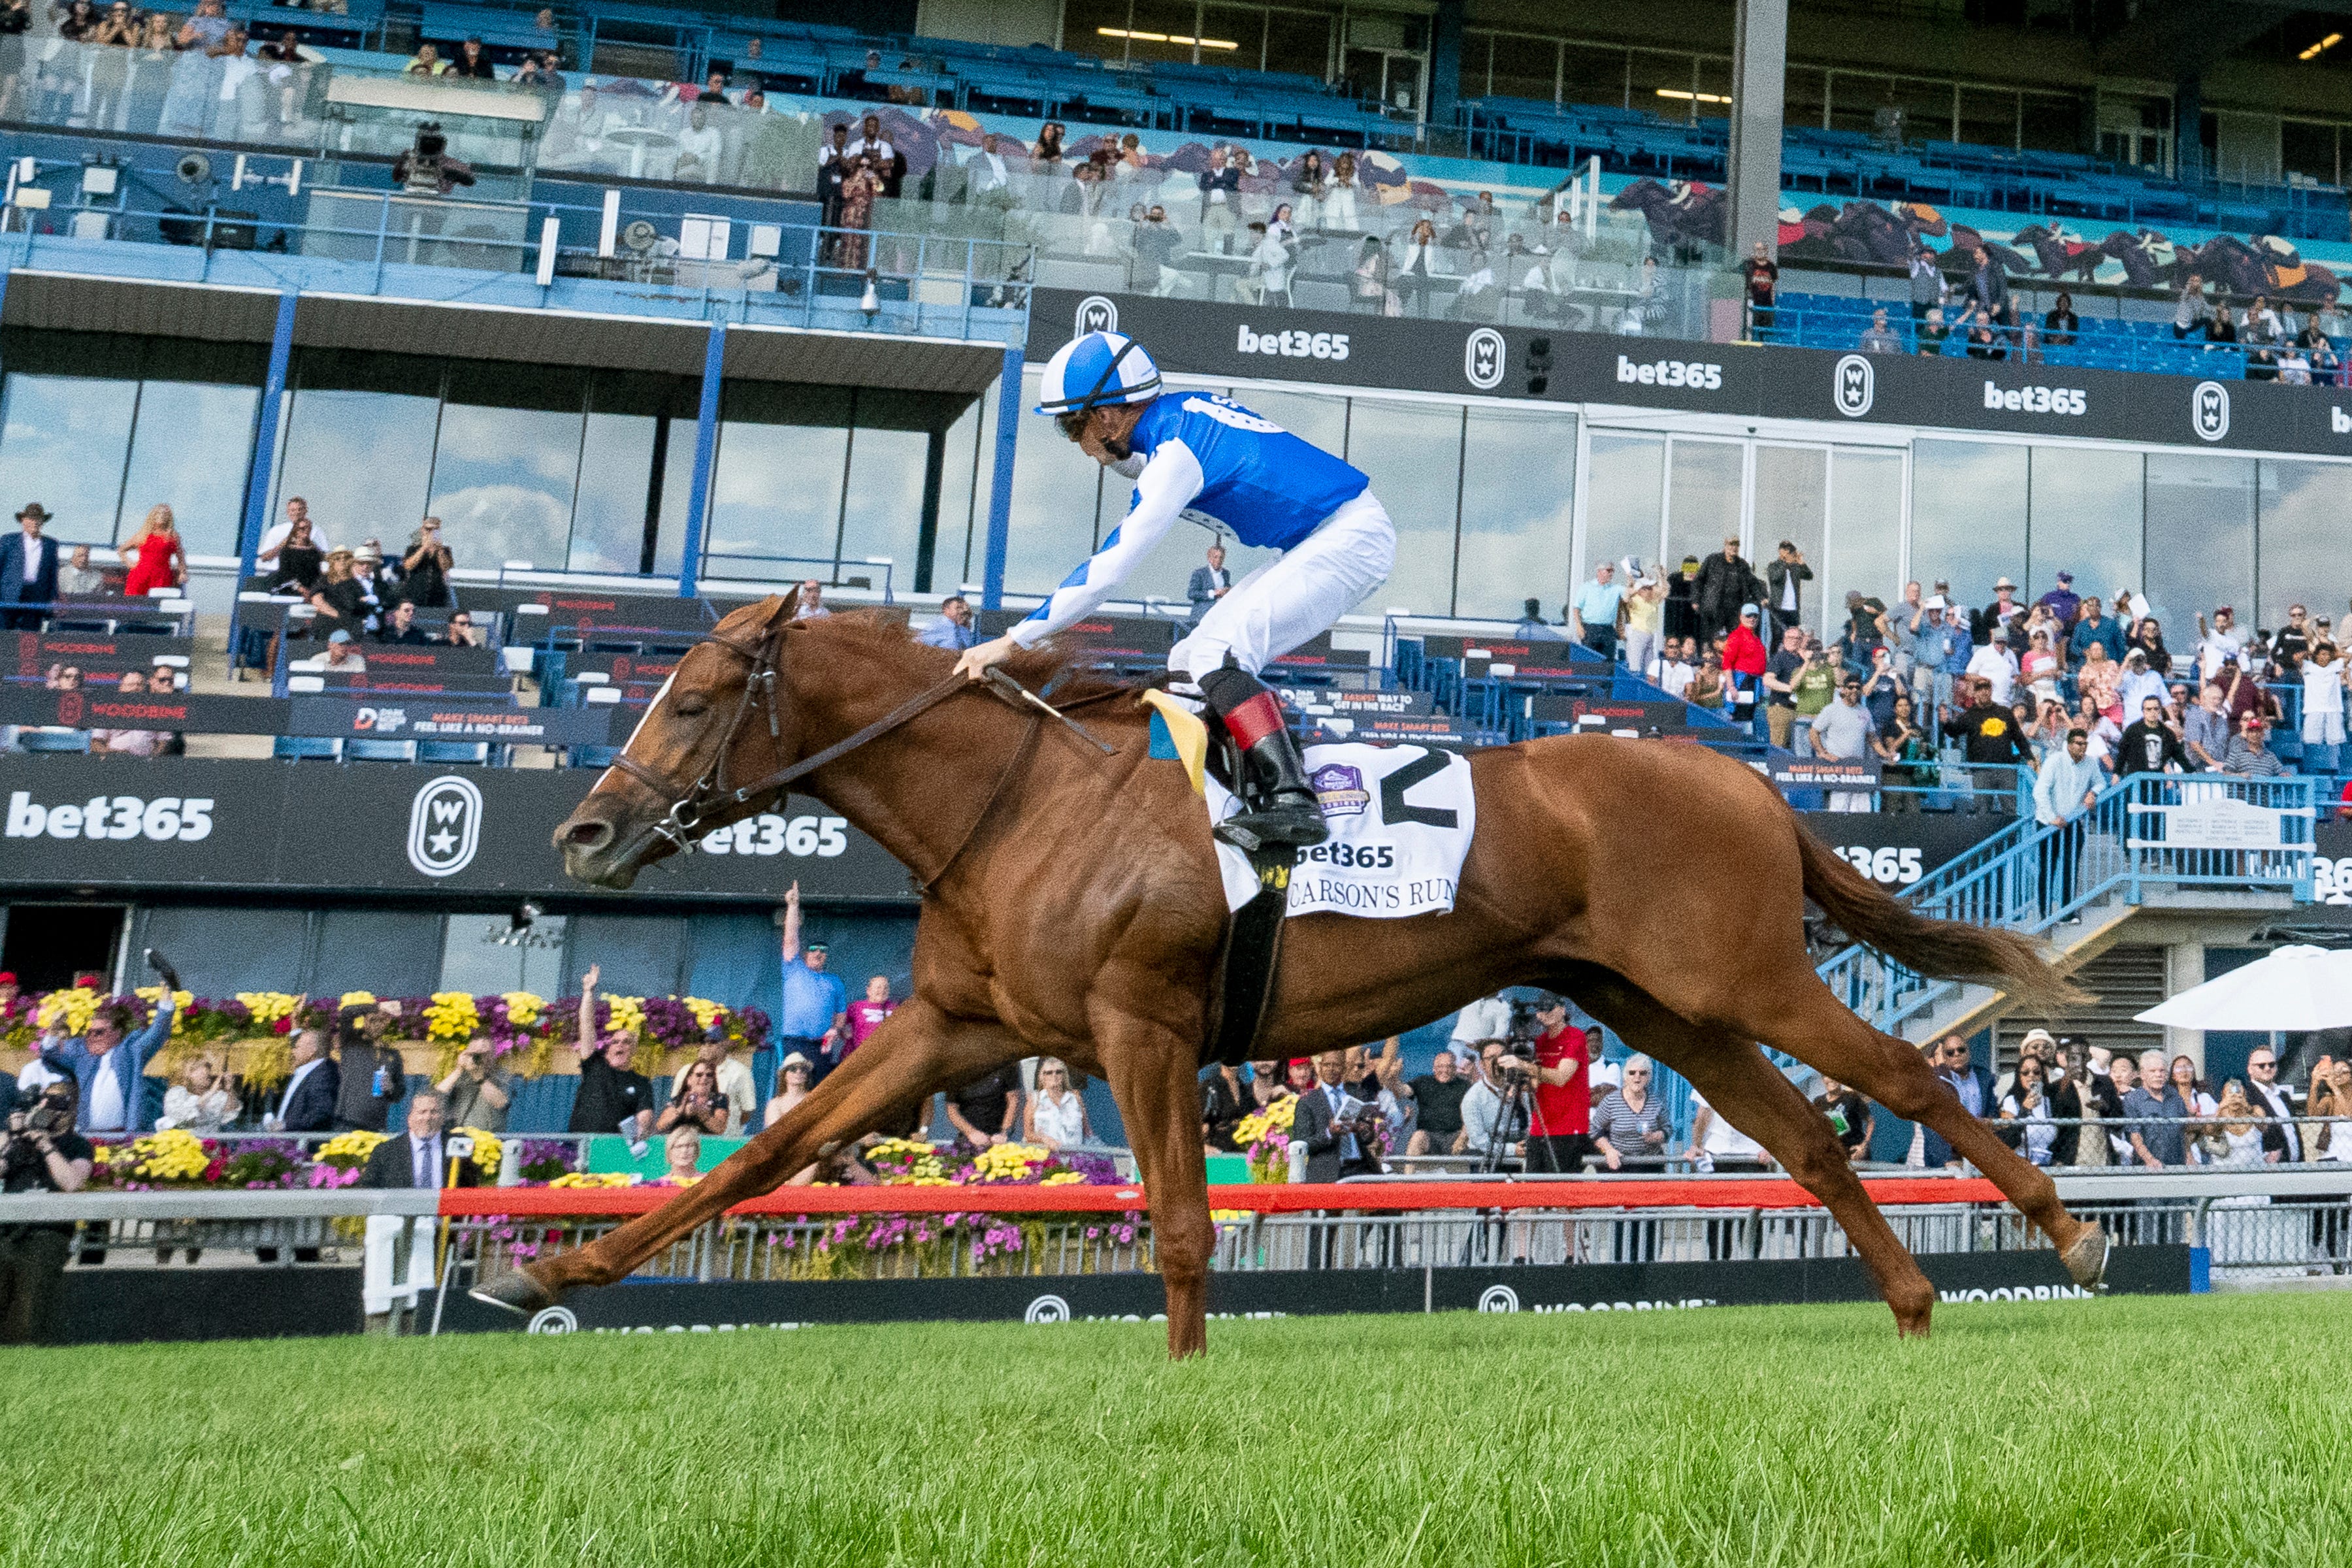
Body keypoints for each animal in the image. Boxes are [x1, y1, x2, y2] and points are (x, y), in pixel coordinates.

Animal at [482, 589, 2110, 1357]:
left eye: (697, 699)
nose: (583, 830)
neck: (1020, 801)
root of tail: (1751, 782)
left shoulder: (1141, 1024)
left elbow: (1183, 1228)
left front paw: (1187, 1380)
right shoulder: (956, 1028)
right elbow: (769, 1151)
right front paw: (553, 1268)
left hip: (1743, 980)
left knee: (1895, 1081)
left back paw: (2071, 1239)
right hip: (1661, 1009)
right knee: (1805, 1143)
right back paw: (1912, 1301)